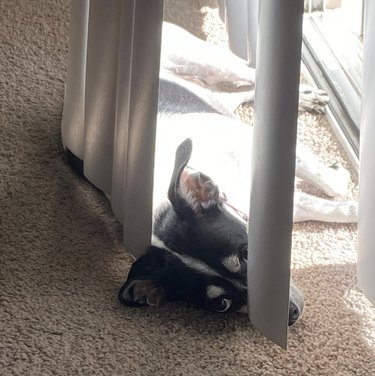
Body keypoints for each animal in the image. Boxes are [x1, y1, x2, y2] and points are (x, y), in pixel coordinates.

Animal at [66, 22, 360, 326]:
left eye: (248, 254)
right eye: (222, 304)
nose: (290, 315)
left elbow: (329, 186)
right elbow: (316, 203)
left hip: (206, 59)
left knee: (249, 76)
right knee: (235, 95)